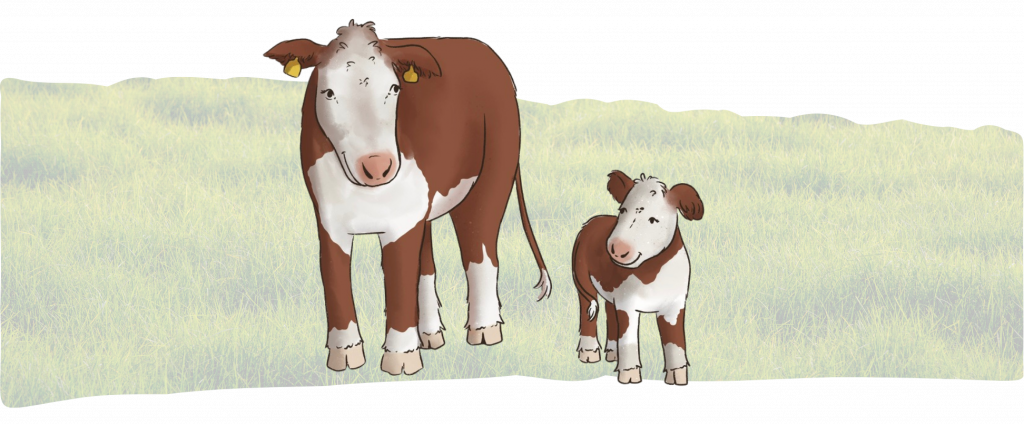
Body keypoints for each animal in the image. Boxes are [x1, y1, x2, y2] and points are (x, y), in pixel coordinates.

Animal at [262, 18, 551, 376]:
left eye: (394, 89)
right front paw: (344, 356)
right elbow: (335, 277)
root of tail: (480, 48)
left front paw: (401, 359)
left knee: (479, 247)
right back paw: (430, 336)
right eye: (328, 92)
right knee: (426, 263)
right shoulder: (328, 216)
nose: (378, 166)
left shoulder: (401, 220)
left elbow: (400, 280)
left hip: (494, 168)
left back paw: (483, 332)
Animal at [572, 171, 704, 386]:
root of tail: (593, 221)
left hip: (610, 290)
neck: (651, 273)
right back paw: (589, 353)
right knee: (588, 309)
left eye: (653, 220)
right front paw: (629, 376)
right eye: (623, 210)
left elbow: (674, 342)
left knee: (610, 311)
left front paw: (678, 378)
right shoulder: (627, 303)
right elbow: (629, 339)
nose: (617, 249)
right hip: (582, 276)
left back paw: (612, 354)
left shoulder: (675, 305)